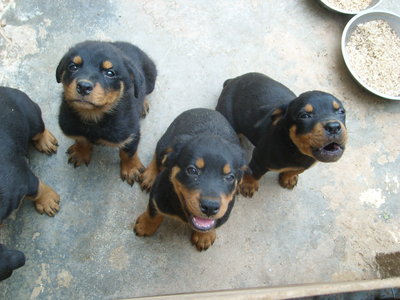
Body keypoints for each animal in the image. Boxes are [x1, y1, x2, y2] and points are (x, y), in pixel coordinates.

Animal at [0, 86, 60, 278]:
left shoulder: (22, 180)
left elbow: (37, 190)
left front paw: (48, 202)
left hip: (30, 114)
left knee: (38, 129)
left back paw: (45, 141)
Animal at [56, 40, 156, 185]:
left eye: (110, 73)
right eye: (73, 67)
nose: (83, 87)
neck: (93, 116)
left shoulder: (130, 134)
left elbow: (128, 152)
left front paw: (131, 169)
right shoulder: (72, 128)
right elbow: (81, 140)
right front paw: (81, 153)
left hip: (150, 80)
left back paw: (143, 105)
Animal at [134, 108, 247, 251]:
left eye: (230, 177)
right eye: (192, 170)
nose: (210, 207)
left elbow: (213, 224)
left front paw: (205, 236)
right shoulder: (158, 193)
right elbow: (153, 212)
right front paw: (145, 225)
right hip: (166, 141)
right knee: (158, 155)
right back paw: (150, 175)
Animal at [216, 72, 346, 197]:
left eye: (341, 111)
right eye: (304, 116)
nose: (334, 127)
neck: (295, 149)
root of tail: (232, 81)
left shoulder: (305, 165)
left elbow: (295, 170)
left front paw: (289, 177)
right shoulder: (259, 158)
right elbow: (255, 173)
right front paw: (248, 185)